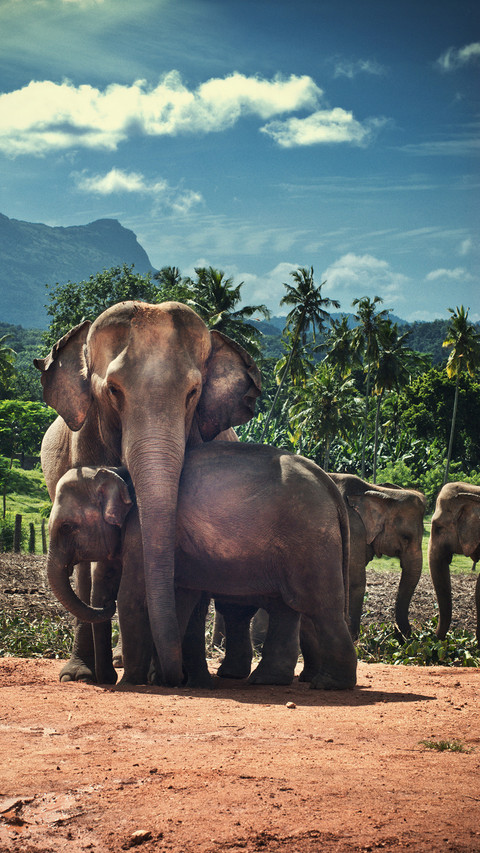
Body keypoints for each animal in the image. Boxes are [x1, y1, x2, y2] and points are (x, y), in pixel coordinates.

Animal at [35, 301, 261, 686]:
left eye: (192, 393)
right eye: (113, 390)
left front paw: (183, 678)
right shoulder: (86, 438)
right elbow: (92, 563)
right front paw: (81, 675)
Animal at [46, 441, 358, 690]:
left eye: (67, 527)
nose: (107, 679)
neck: (119, 473)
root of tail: (327, 482)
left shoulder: (141, 533)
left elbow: (133, 598)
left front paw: (134, 684)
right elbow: (180, 599)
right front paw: (162, 678)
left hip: (310, 541)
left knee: (320, 606)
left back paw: (329, 685)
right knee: (287, 608)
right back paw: (267, 680)